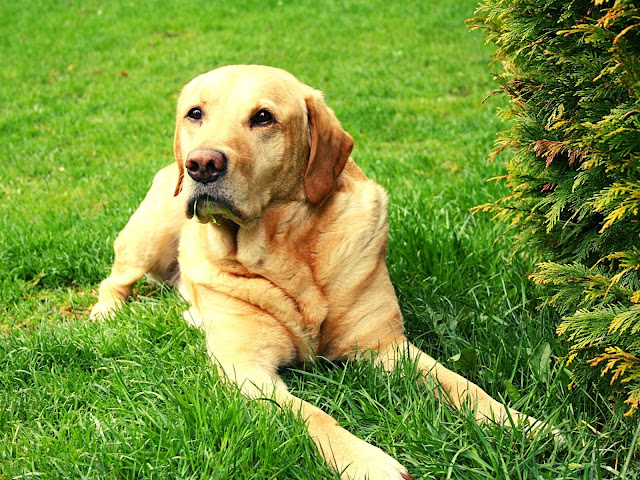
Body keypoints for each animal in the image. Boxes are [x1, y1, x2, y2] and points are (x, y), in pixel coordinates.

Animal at [90, 64, 552, 480]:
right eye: (195, 113)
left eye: (263, 117)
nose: (201, 164)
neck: (283, 254)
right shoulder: (246, 369)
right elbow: (313, 416)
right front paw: (367, 462)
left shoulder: (386, 346)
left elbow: (460, 384)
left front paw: (522, 424)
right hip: (150, 236)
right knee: (114, 280)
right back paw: (105, 313)